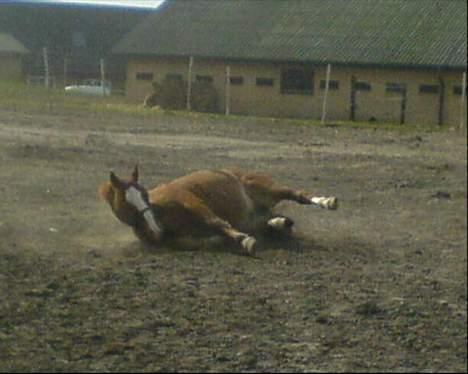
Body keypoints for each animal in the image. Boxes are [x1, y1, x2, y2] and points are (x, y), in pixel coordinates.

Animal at [98, 166, 336, 256]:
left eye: (144, 195)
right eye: (126, 203)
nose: (156, 229)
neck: (161, 208)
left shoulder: (193, 203)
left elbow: (216, 222)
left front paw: (244, 241)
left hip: (266, 189)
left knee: (297, 194)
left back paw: (326, 201)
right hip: (257, 214)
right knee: (271, 221)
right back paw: (279, 223)